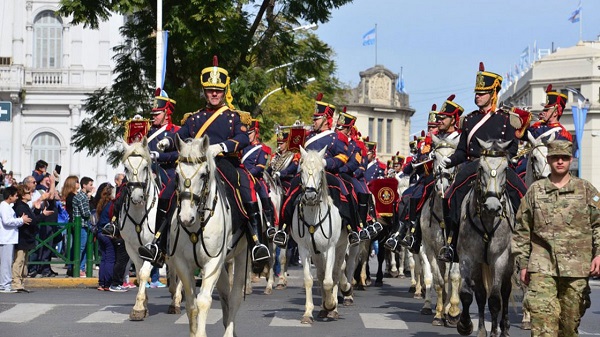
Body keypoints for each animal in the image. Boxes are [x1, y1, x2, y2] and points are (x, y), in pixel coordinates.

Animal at [119, 139, 180, 320]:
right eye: (126, 167)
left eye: (146, 167)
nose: (137, 196)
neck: (139, 211)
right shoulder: (131, 247)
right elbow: (139, 275)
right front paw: (144, 305)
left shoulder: (150, 247)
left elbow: (145, 273)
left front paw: (138, 307)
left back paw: (176, 302)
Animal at [170, 135, 247, 336]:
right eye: (176, 174)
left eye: (203, 175)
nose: (185, 218)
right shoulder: (182, 262)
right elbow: (191, 304)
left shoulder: (213, 262)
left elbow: (204, 301)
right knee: (226, 293)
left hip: (242, 255)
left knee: (235, 297)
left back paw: (229, 332)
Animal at [292, 147, 346, 322]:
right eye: (301, 170)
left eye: (321, 170)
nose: (310, 196)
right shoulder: (304, 249)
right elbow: (309, 280)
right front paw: (308, 312)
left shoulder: (331, 248)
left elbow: (329, 280)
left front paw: (331, 304)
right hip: (317, 253)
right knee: (322, 275)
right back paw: (323, 308)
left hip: (341, 247)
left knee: (336, 272)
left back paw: (332, 307)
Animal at [458, 137, 512, 336]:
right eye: (481, 167)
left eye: (506, 169)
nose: (492, 206)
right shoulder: (468, 257)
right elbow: (467, 293)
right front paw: (465, 324)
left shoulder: (500, 258)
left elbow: (495, 299)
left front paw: (495, 331)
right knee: (481, 294)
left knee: (505, 292)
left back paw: (503, 327)